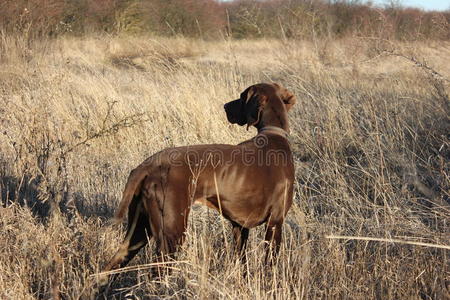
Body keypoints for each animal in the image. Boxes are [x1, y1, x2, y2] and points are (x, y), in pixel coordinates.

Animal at [99, 82, 296, 284]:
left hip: (139, 230)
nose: (225, 106)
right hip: (172, 233)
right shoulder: (275, 222)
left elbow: (242, 262)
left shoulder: (240, 226)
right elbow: (270, 265)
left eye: (241, 97)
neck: (273, 135)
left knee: (113, 264)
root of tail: (147, 165)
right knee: (158, 271)